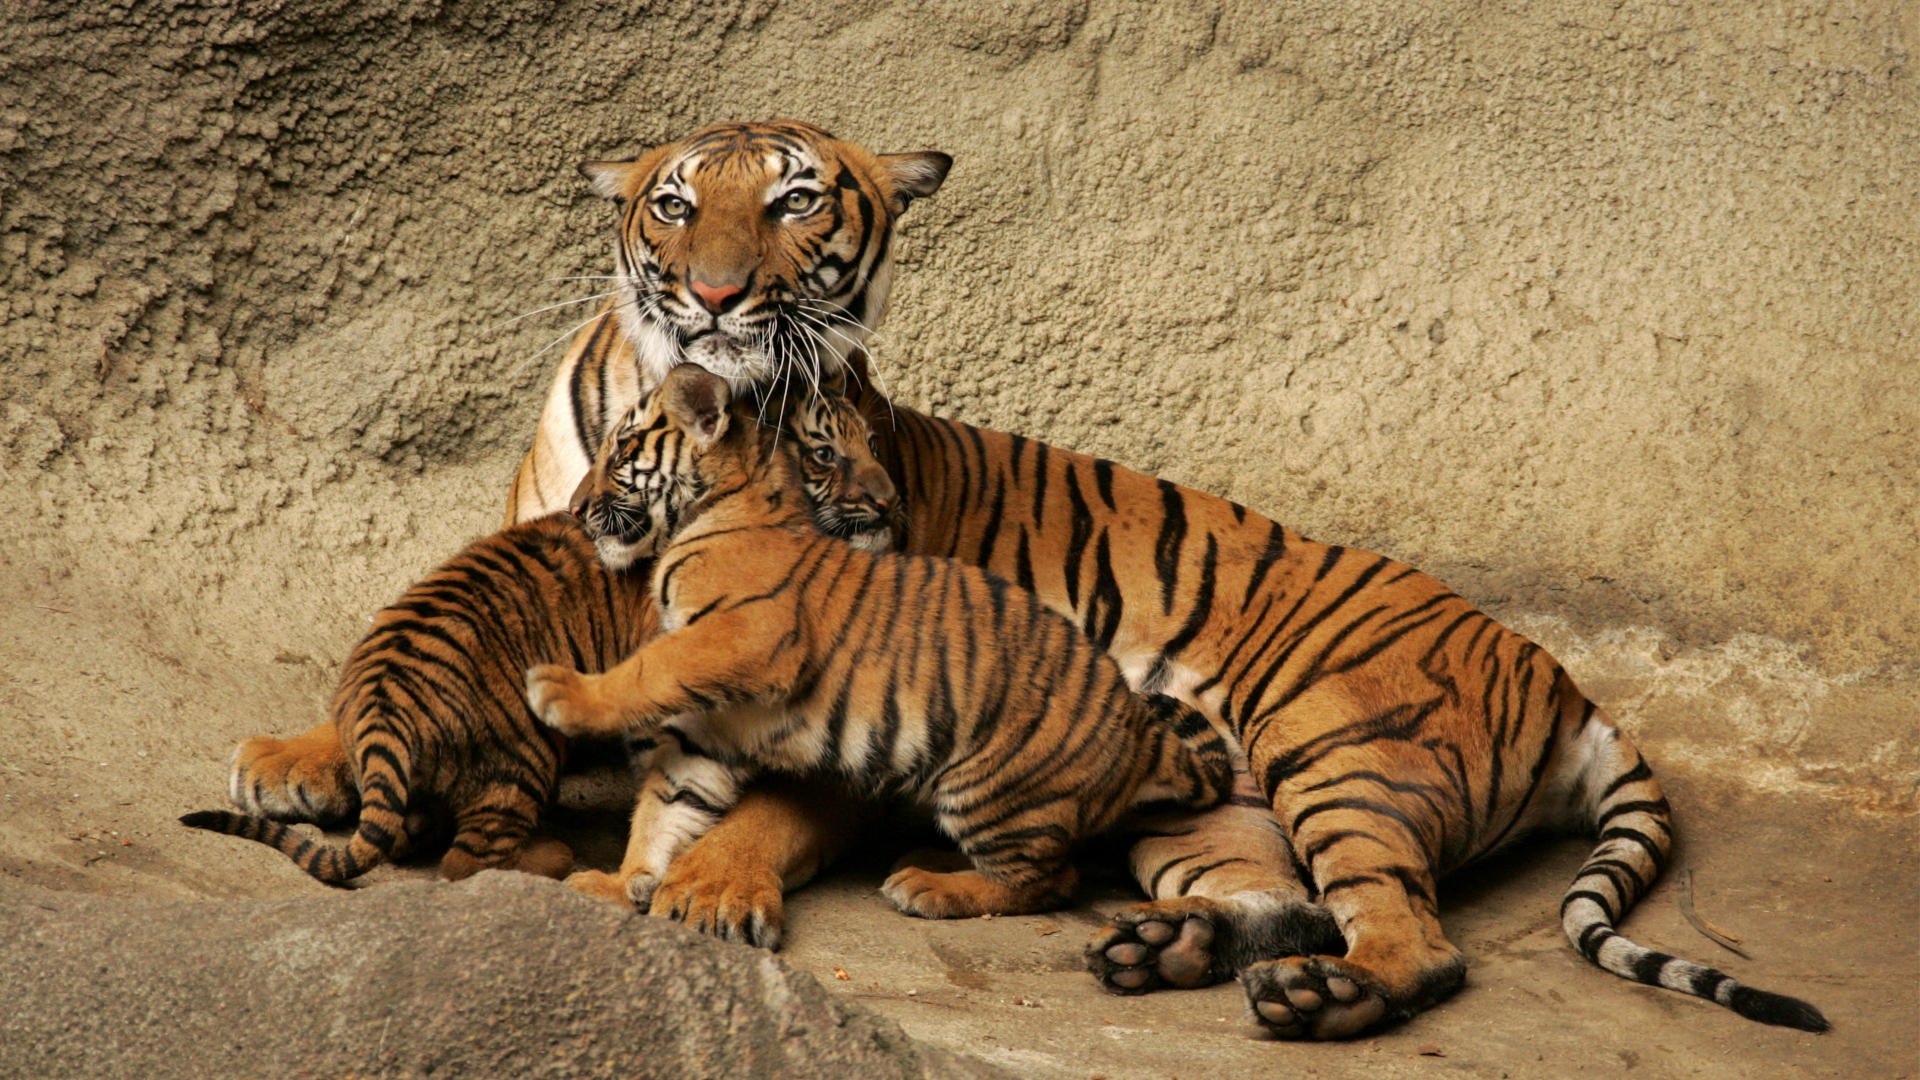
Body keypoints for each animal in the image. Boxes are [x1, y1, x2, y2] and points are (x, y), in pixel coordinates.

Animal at [522, 363, 1237, 919]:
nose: (576, 509)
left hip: (990, 786)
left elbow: (651, 670)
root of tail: (1142, 736)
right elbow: (667, 805)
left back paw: (929, 886)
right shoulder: (712, 724)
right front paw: (618, 882)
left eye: (621, 450)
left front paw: (559, 692)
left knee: (1053, 880)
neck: (719, 506)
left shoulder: (744, 636)